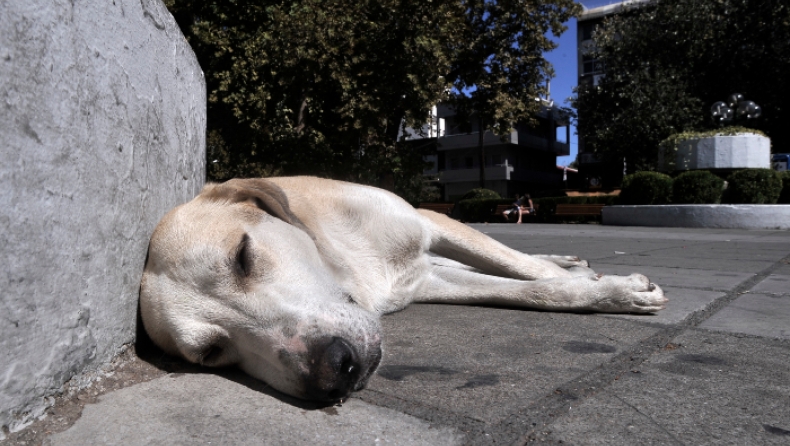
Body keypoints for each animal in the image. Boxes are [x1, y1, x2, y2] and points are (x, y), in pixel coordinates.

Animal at [141, 176, 668, 402]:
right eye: (211, 352)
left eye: (243, 256)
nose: (336, 370)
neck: (350, 269)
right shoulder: (428, 281)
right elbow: (525, 288)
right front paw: (598, 290)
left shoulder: (429, 220)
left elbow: (523, 270)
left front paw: (614, 288)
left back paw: (569, 262)